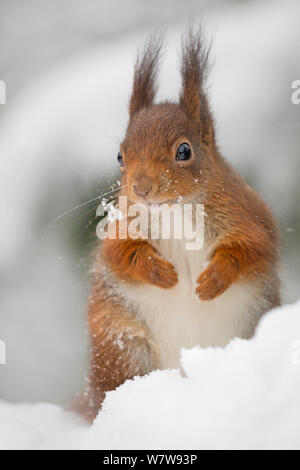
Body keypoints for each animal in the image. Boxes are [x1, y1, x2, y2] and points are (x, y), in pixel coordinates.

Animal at [77, 31, 278, 420]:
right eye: (120, 156)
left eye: (184, 151)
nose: (141, 188)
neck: (171, 212)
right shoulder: (120, 228)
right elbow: (121, 255)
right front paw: (161, 273)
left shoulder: (249, 218)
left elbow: (250, 250)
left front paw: (212, 280)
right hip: (123, 345)